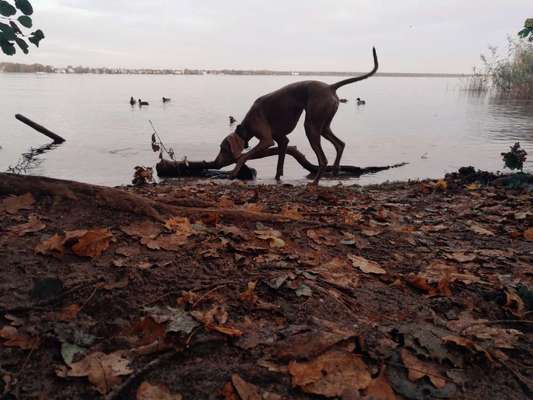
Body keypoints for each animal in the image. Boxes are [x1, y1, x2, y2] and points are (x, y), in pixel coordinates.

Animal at [214, 47, 376, 184]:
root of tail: (330, 87)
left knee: (323, 160)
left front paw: (233, 173)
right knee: (340, 144)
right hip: (323, 126)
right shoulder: (282, 140)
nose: (215, 163)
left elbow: (244, 156)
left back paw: (315, 182)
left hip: (311, 126)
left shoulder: (267, 140)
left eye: (223, 148)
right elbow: (280, 163)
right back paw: (335, 170)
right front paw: (277, 179)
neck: (247, 124)